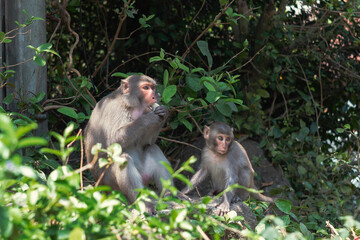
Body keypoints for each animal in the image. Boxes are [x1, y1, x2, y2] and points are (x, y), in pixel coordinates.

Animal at [85, 75, 171, 214]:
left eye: (153, 88)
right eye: (145, 88)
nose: (154, 96)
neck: (130, 105)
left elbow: (146, 142)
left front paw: (163, 112)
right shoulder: (115, 110)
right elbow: (112, 141)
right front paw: (149, 118)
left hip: (144, 175)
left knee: (152, 148)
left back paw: (170, 194)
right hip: (111, 185)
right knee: (123, 159)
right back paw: (145, 204)